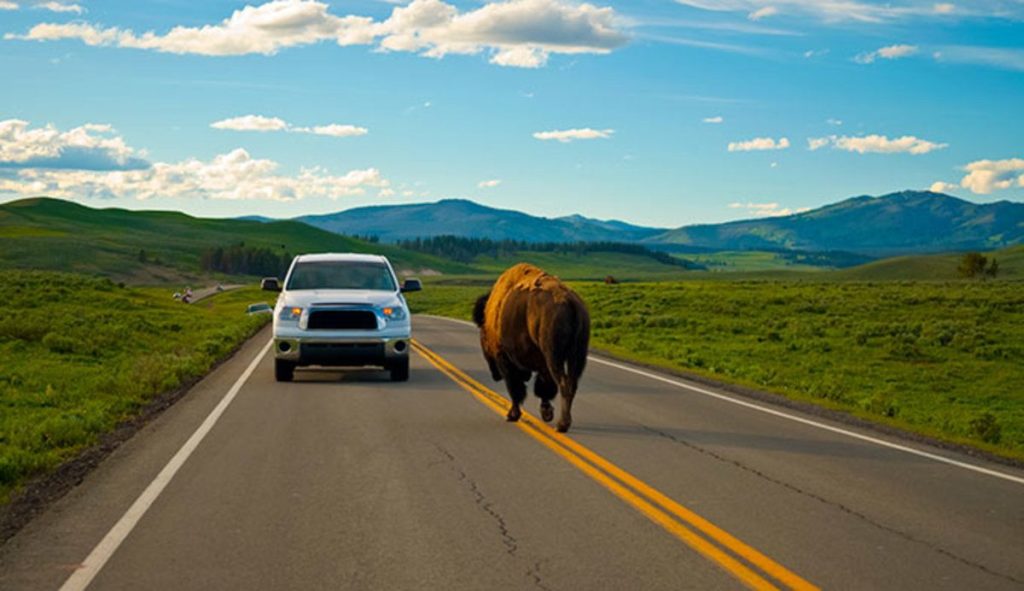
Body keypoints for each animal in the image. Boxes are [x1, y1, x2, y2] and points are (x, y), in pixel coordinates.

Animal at [473, 264, 593, 430]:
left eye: (483, 336)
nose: (495, 375)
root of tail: (570, 302)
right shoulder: (542, 365)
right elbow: (543, 389)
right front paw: (546, 413)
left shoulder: (506, 361)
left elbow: (516, 389)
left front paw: (512, 415)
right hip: (578, 356)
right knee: (572, 383)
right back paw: (562, 422)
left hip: (554, 357)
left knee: (563, 383)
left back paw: (562, 425)